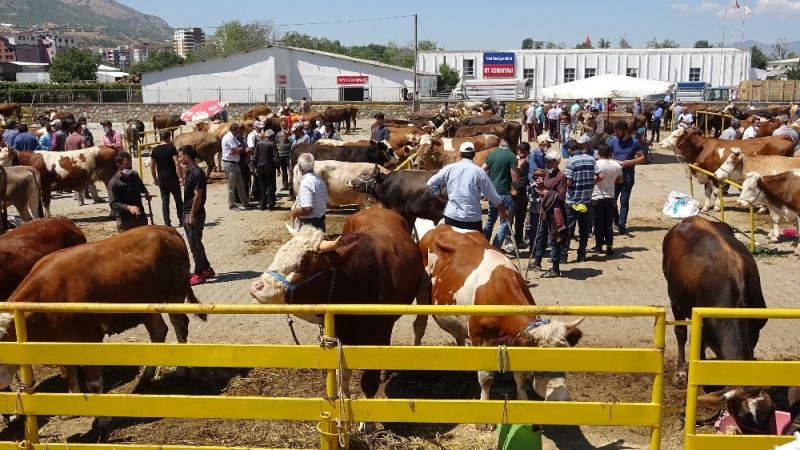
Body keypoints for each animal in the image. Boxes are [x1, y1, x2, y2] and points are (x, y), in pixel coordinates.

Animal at [0, 225, 209, 428]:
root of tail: (165, 229)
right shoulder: (62, 342)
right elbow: (69, 373)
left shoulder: (88, 338)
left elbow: (93, 383)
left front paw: (103, 419)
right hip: (147, 304)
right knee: (159, 331)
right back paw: (147, 376)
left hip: (175, 292)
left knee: (179, 323)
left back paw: (181, 369)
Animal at [250, 207, 428, 412]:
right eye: (279, 254)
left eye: (300, 265)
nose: (256, 287)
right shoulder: (342, 331)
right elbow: (342, 374)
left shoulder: (379, 331)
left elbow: (369, 381)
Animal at [416, 225, 584, 418]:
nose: (561, 399)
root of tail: (439, 227)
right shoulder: (481, 339)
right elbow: (485, 378)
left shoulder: (518, 341)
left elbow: (520, 375)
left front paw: (522, 401)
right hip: (422, 294)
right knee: (419, 326)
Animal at [656, 126, 792, 211]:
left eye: (675, 135)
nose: (661, 143)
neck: (700, 149)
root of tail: (782, 137)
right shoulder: (705, 174)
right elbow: (707, 191)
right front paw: (706, 207)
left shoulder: (713, 174)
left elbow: (716, 191)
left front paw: (716, 207)